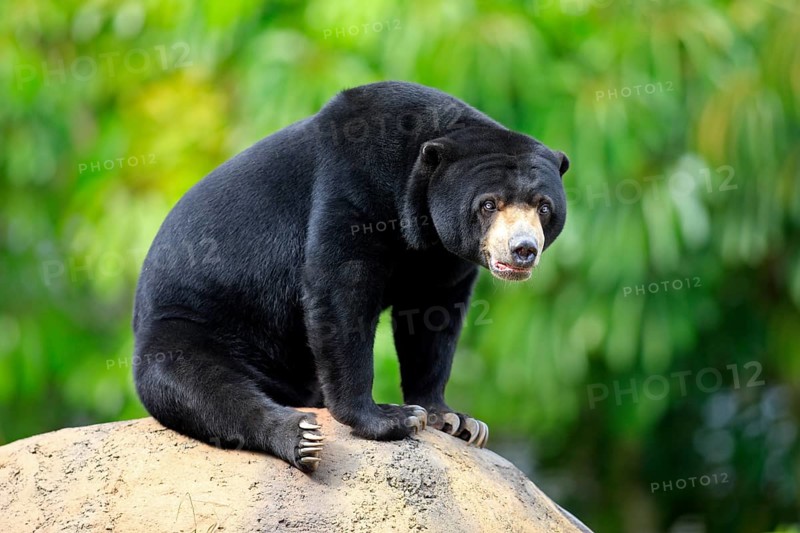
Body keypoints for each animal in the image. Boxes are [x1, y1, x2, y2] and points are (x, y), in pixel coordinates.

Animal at [132, 81, 569, 472]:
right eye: (488, 204)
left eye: (544, 207)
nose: (523, 250)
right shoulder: (354, 185)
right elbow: (341, 289)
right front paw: (392, 418)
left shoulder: (442, 257)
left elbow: (433, 318)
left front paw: (456, 420)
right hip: (190, 323)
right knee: (199, 386)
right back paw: (300, 436)